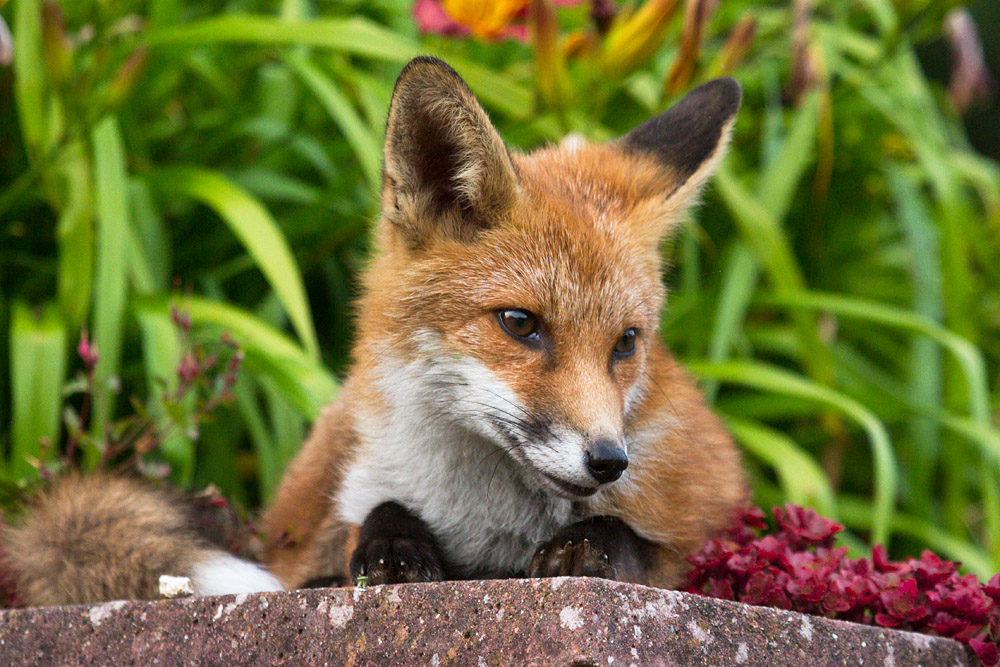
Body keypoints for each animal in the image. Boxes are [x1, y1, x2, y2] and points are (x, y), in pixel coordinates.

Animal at [3, 56, 745, 607]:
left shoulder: (710, 519)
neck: (491, 528)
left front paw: (594, 542)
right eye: (520, 324)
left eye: (626, 342)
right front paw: (390, 548)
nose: (608, 460)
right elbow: (376, 516)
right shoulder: (342, 516)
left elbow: (643, 543)